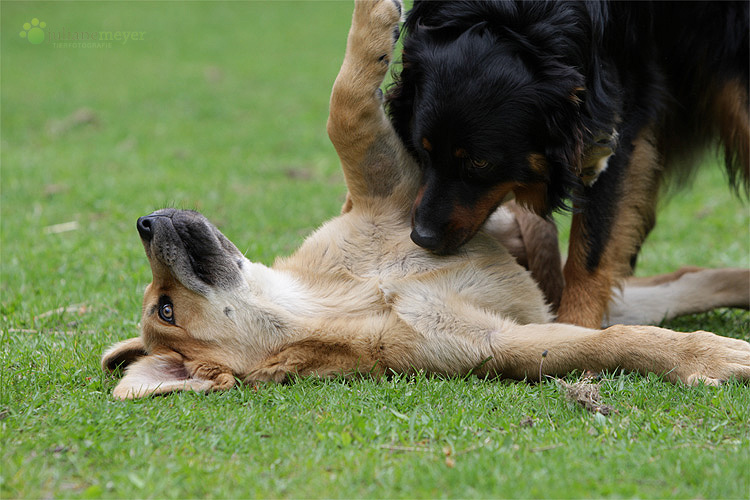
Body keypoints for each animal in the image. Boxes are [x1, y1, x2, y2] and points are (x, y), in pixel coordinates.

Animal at [104, 0, 750, 398]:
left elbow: (345, 107)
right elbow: (622, 342)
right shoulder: (510, 342)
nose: (145, 221)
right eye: (164, 308)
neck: (353, 296)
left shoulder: (387, 184)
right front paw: (713, 360)